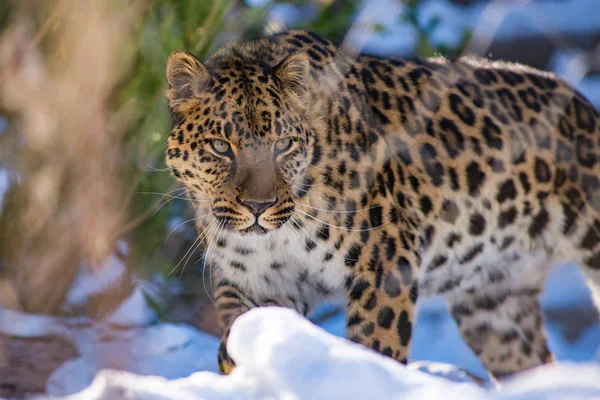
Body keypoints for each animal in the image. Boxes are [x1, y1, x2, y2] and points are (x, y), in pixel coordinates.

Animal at [163, 29, 600, 380]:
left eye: (282, 145)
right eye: (221, 146)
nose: (259, 206)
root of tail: (585, 106)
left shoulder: (387, 260)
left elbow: (376, 345)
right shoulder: (254, 281)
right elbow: (242, 330)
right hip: (495, 309)